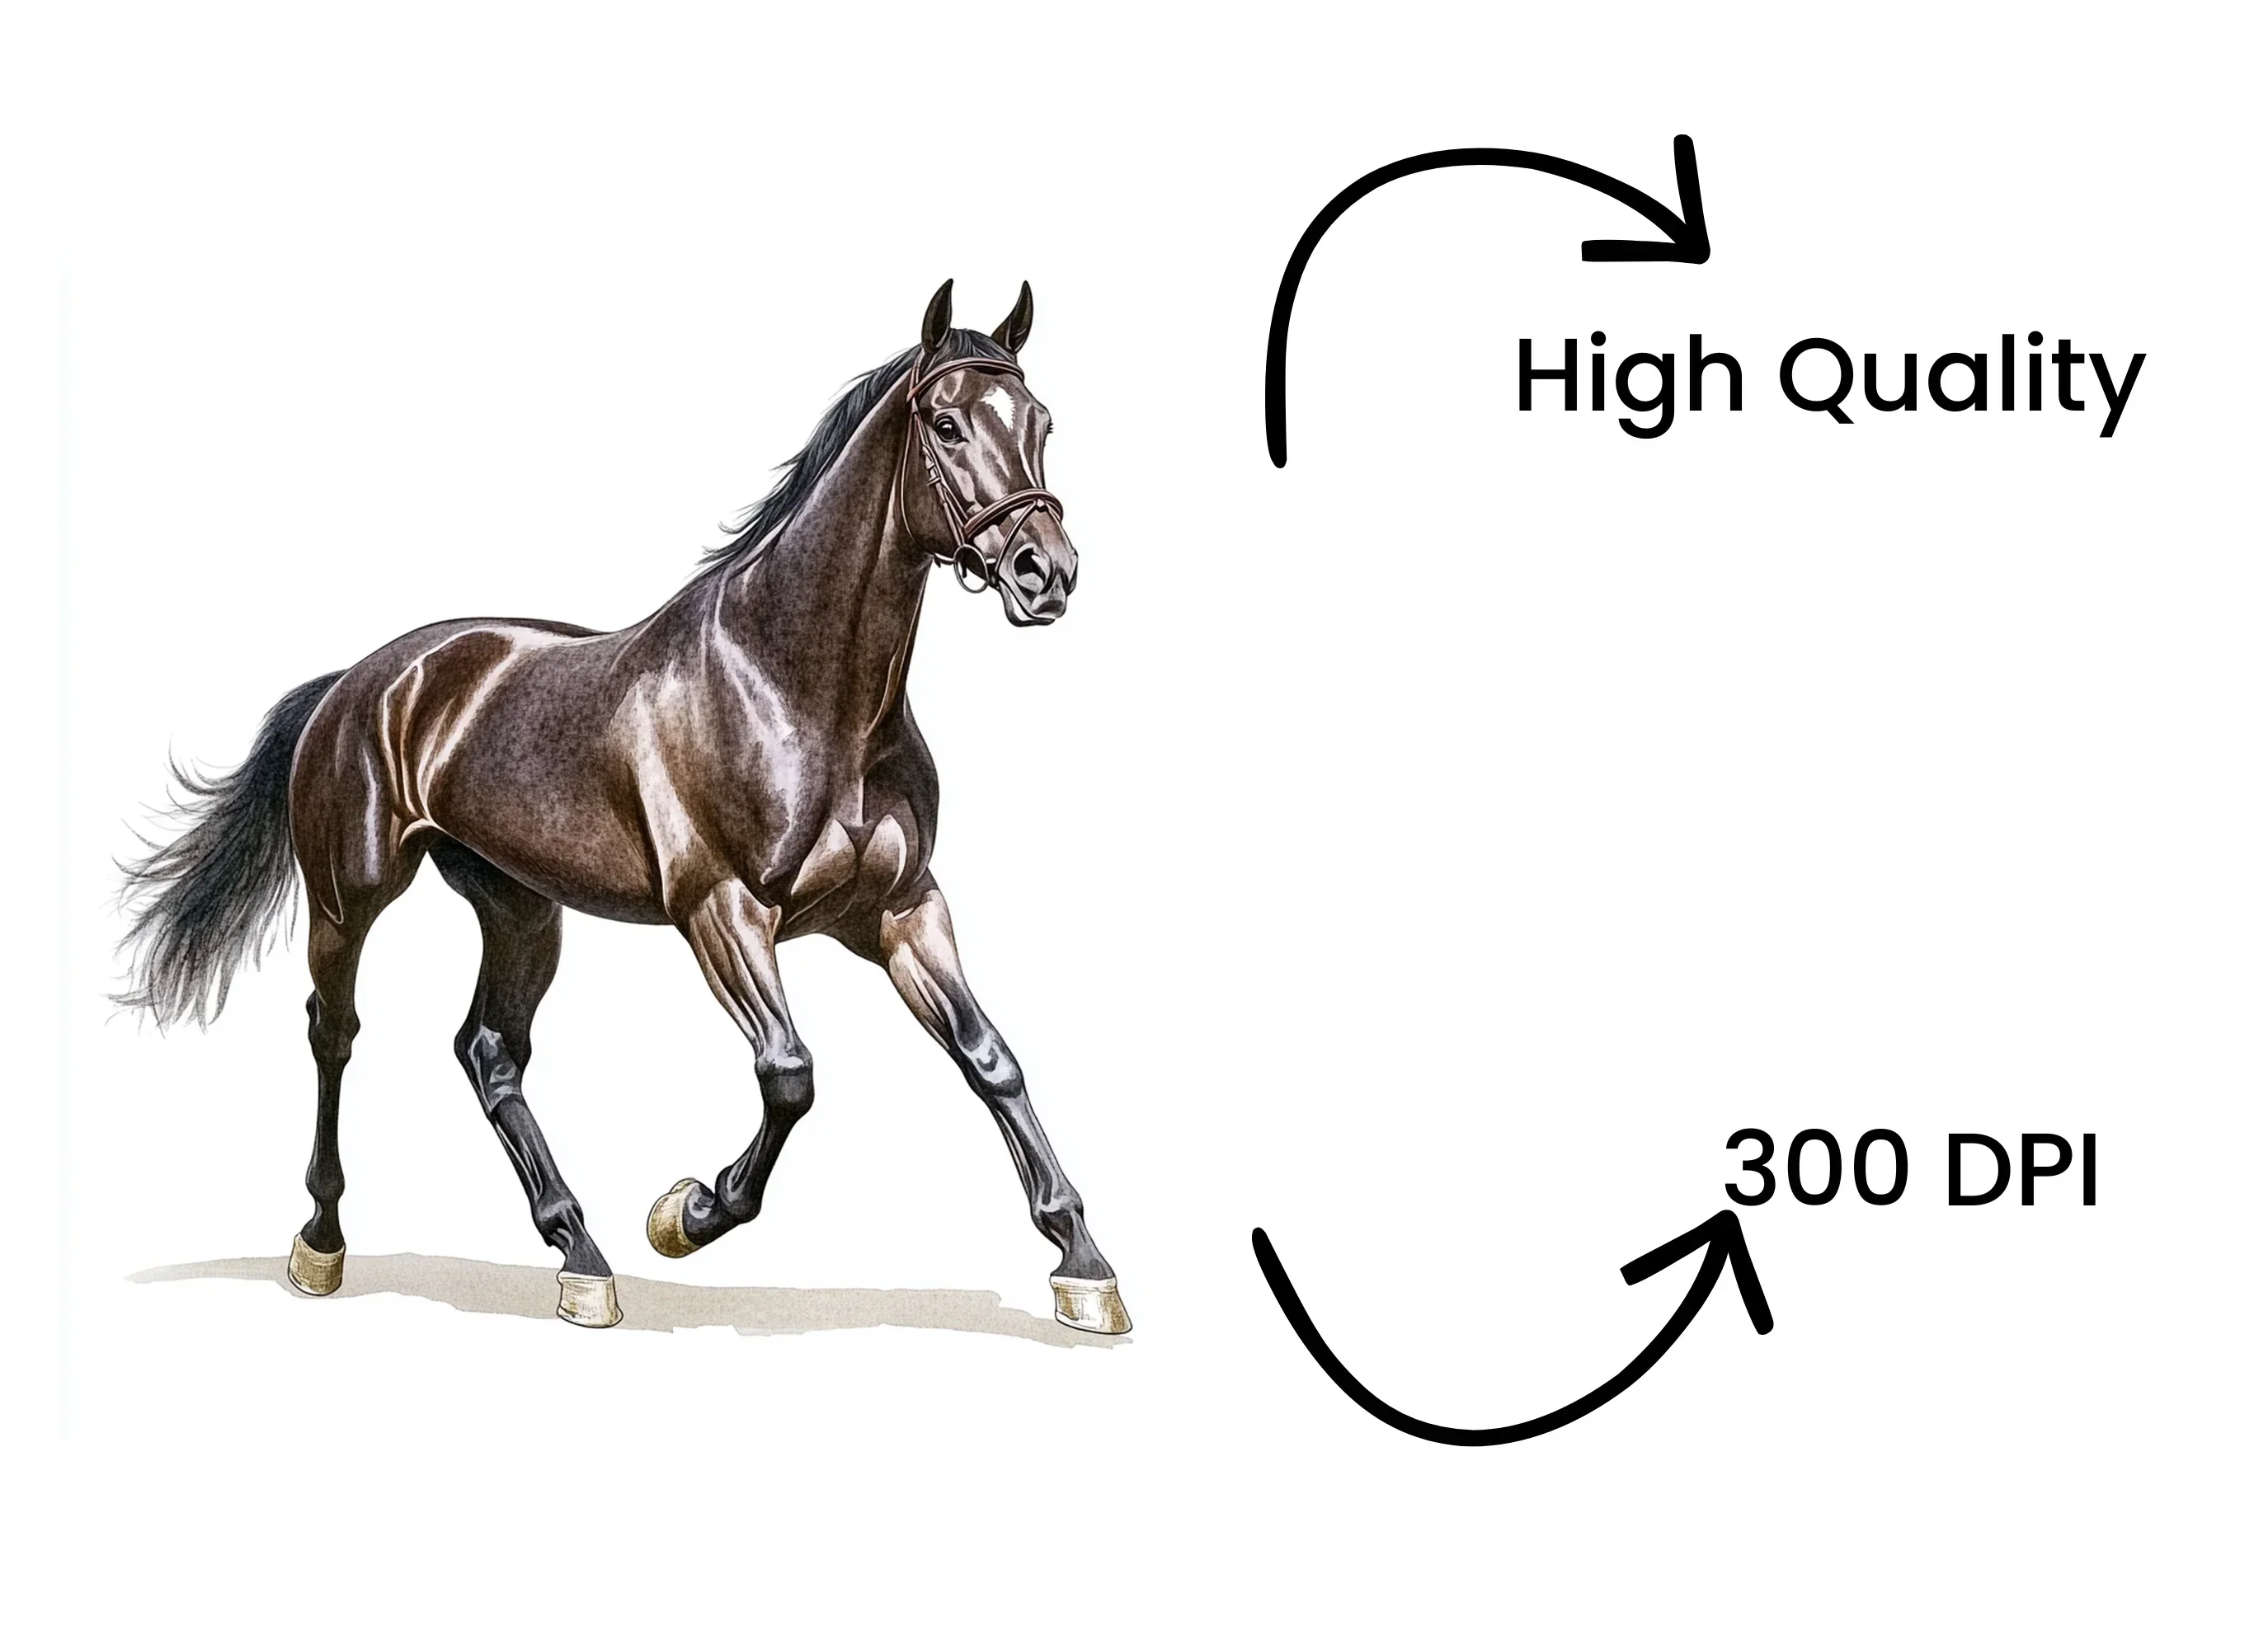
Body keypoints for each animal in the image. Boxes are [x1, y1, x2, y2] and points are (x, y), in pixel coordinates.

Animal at [116, 280, 1129, 1336]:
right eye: (946, 424)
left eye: (1041, 422)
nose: (1045, 572)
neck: (796, 687)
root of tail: (358, 681)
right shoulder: (722, 911)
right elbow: (790, 1074)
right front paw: (685, 1212)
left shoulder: (899, 910)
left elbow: (989, 1058)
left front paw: (1084, 1266)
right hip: (348, 895)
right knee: (335, 1030)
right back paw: (322, 1244)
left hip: (520, 907)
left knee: (489, 1052)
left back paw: (579, 1255)